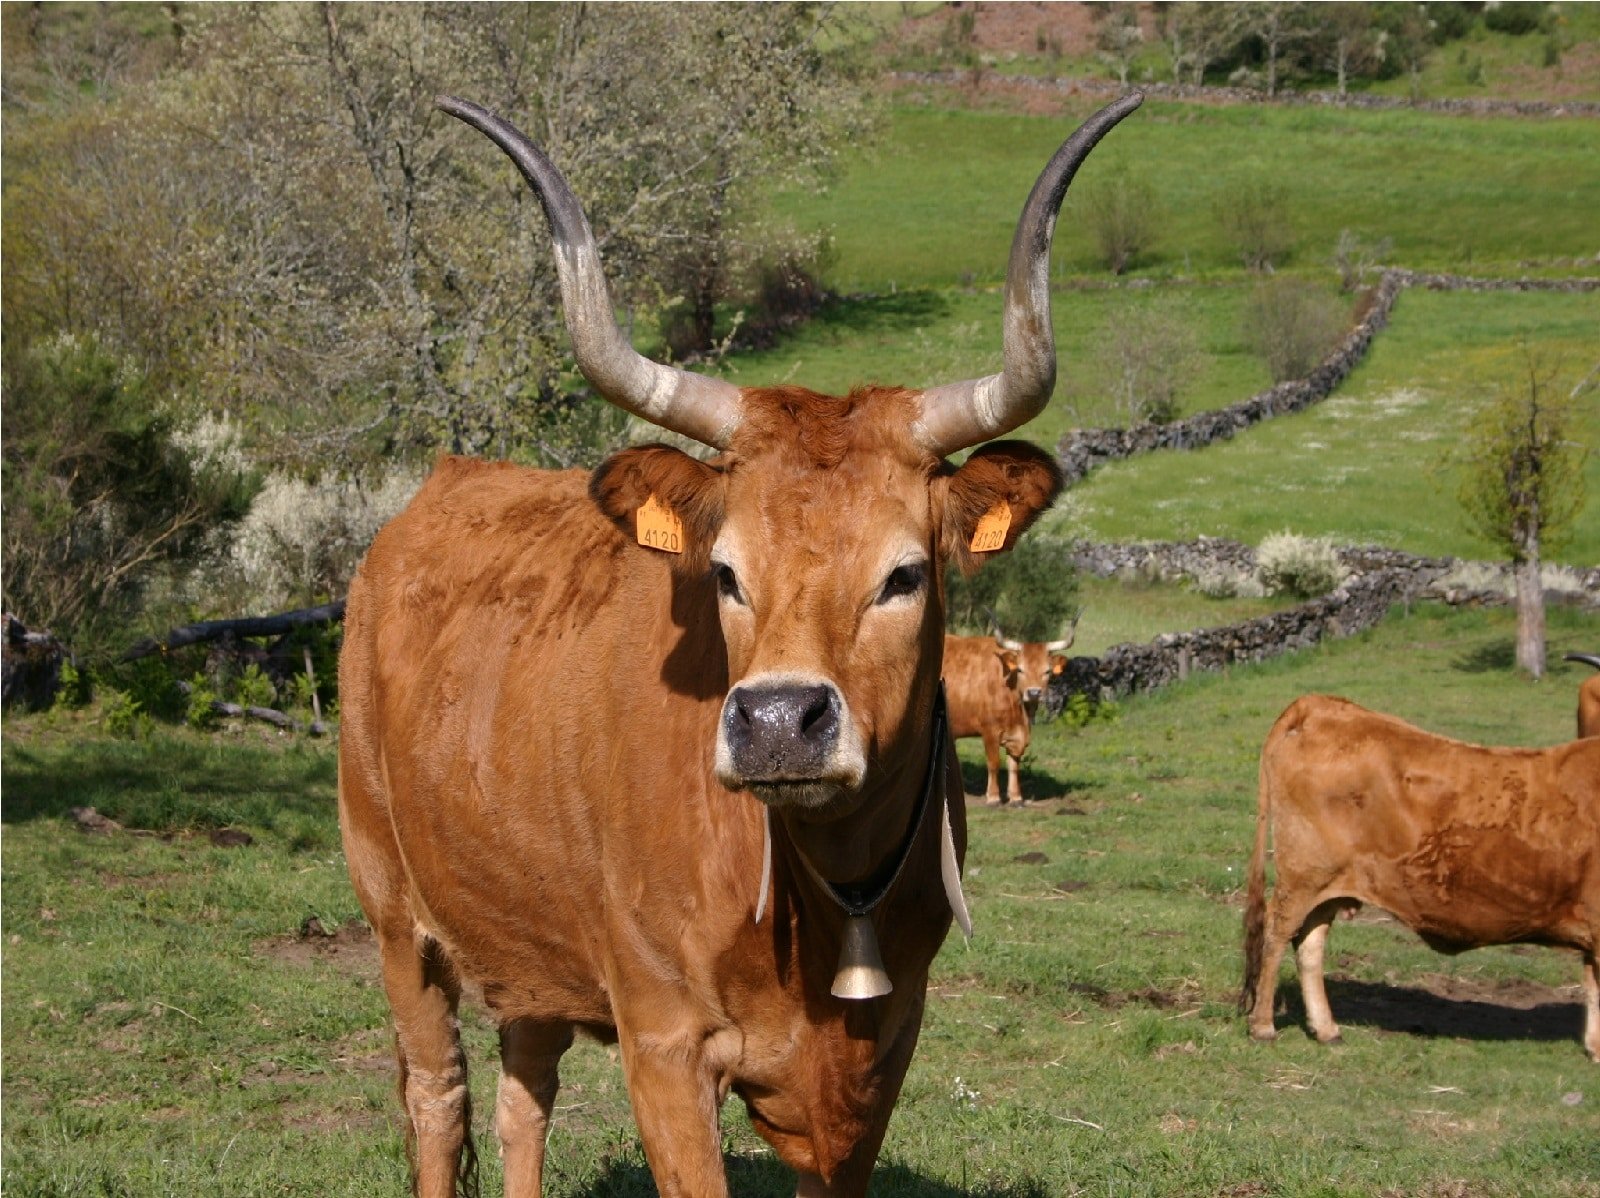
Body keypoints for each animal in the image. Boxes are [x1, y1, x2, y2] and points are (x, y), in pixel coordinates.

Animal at [940, 630, 1030, 809]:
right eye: (1021, 669)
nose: (1035, 692)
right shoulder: (990, 731)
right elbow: (994, 763)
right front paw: (993, 798)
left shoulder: (1016, 735)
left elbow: (1014, 764)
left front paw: (1016, 798)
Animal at [1241, 697, 1600, 1062]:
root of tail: (1319, 705)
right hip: (1303, 878)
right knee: (1276, 935)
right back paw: (1263, 1026)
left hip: (1326, 887)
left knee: (1309, 945)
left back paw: (1327, 1030)